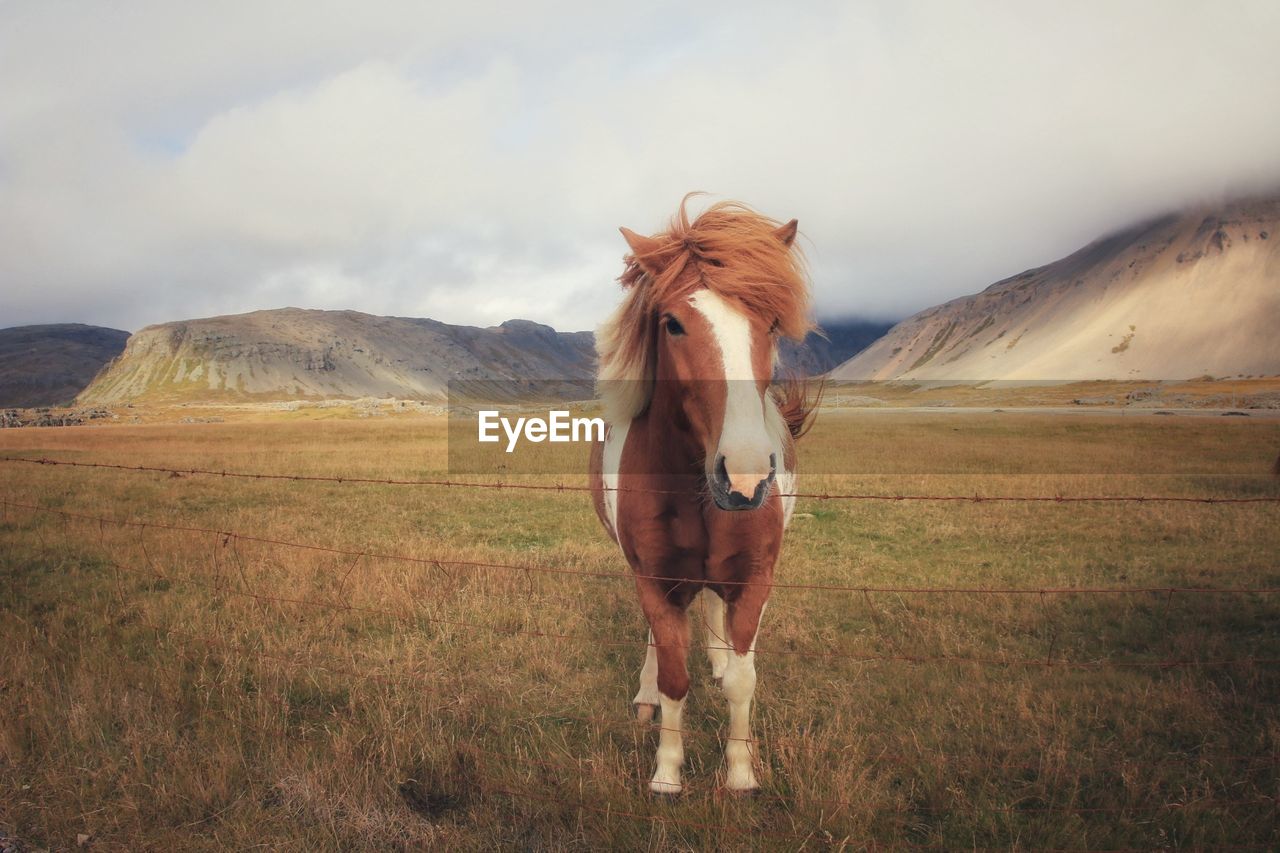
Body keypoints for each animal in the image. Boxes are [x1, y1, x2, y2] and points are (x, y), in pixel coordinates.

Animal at [586, 194, 808, 788]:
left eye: (771, 322)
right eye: (672, 323)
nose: (746, 476)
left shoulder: (755, 578)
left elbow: (742, 681)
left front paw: (741, 774)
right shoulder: (655, 579)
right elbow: (673, 678)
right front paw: (667, 773)